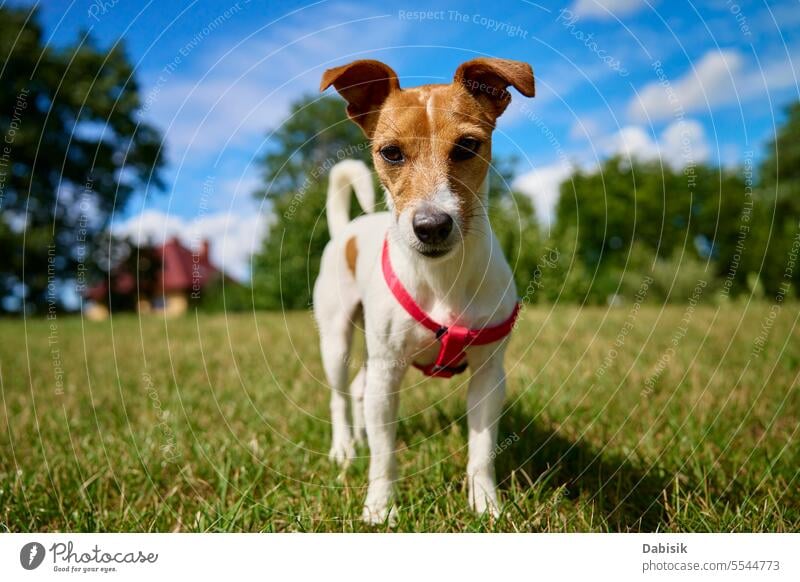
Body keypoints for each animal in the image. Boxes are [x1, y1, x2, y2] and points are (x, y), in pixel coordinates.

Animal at [316, 58, 536, 524]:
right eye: (391, 153)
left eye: (468, 145)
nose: (432, 225)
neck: (442, 280)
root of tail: (345, 230)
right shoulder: (388, 371)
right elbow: (385, 457)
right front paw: (380, 509)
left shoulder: (489, 376)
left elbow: (481, 451)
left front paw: (486, 505)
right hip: (336, 339)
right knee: (341, 396)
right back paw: (345, 448)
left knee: (360, 388)